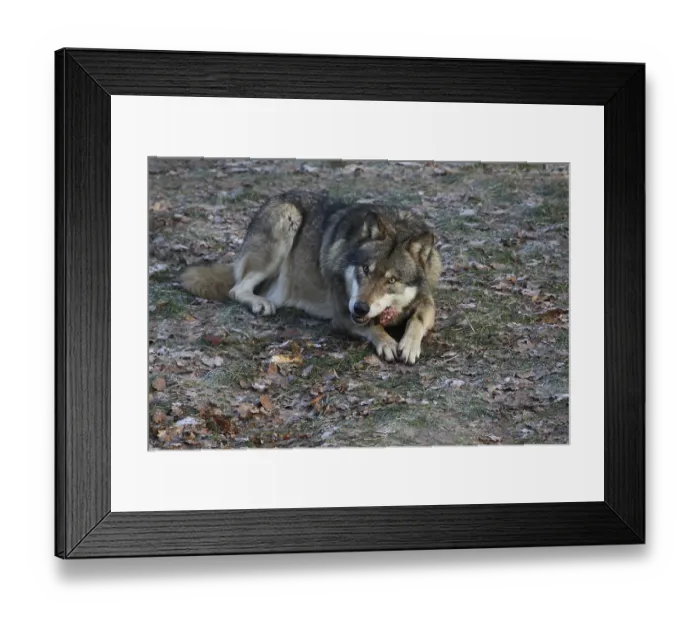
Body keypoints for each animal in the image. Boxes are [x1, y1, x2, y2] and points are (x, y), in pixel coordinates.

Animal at [180, 190, 441, 364]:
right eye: (365, 269)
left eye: (392, 280)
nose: (360, 308)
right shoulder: (343, 314)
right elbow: (373, 326)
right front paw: (387, 342)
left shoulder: (427, 301)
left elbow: (417, 319)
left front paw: (409, 344)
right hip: (288, 219)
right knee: (237, 289)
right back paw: (261, 303)